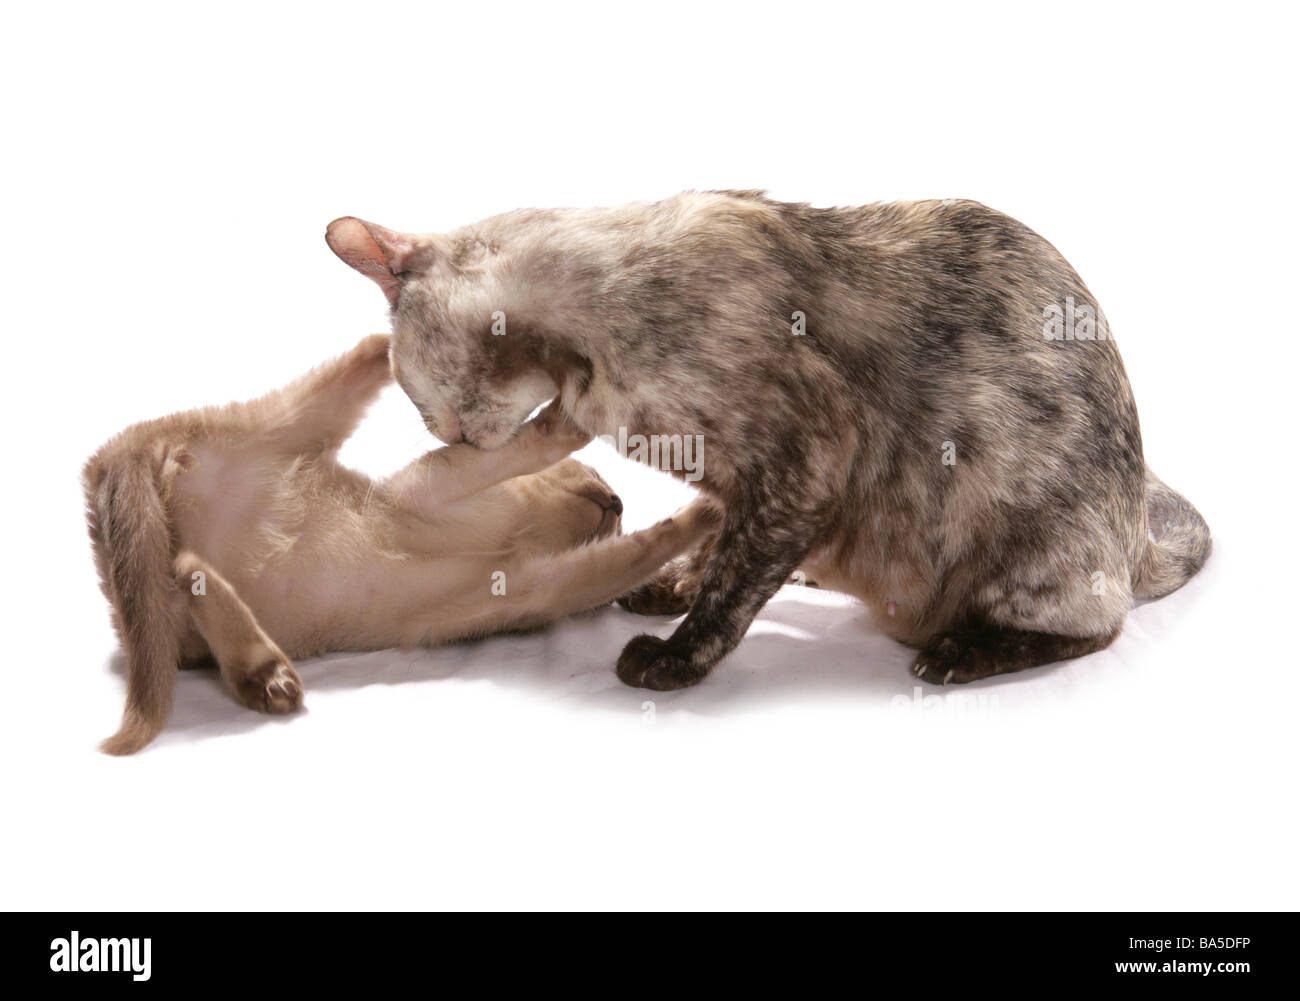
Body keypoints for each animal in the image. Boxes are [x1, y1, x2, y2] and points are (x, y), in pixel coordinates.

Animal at [85, 335, 722, 748]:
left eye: (615, 511)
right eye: (599, 479)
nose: (616, 504)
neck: (513, 536)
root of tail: (112, 456)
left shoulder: (537, 590)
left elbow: (634, 556)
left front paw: (700, 527)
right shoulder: (437, 492)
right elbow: (540, 444)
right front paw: (709, 508)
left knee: (186, 572)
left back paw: (266, 676)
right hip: (290, 425)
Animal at [325, 192, 1206, 696]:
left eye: (409, 390)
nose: (444, 435)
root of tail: (1135, 530)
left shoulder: (802, 462)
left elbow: (733, 587)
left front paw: (673, 659)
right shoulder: (736, 483)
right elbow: (723, 551)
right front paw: (669, 583)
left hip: (1028, 534)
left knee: (1096, 622)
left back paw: (960, 650)